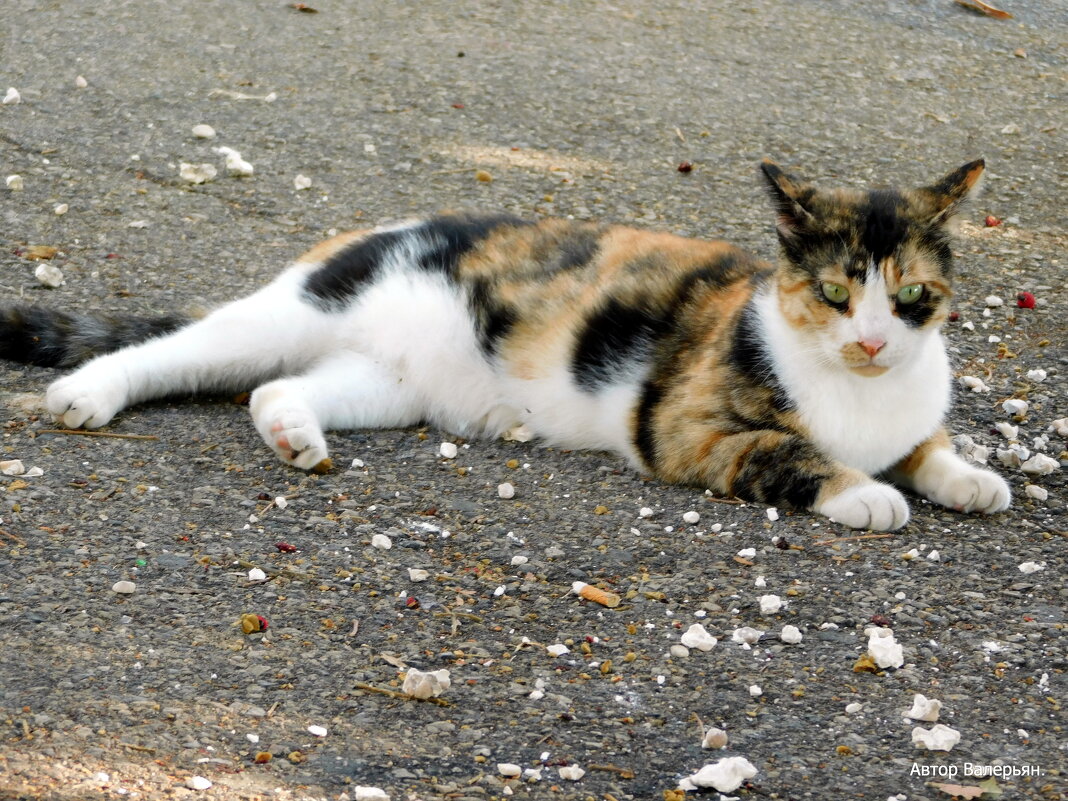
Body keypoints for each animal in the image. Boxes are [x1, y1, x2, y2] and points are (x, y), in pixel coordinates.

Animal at [0, 159, 1008, 529]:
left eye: (911, 297)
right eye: (836, 292)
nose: (872, 342)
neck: (862, 396)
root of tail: (387, 225)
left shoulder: (910, 413)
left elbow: (931, 445)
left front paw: (970, 478)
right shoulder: (688, 432)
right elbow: (792, 453)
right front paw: (865, 493)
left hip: (386, 385)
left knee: (274, 391)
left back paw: (296, 438)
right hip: (287, 314)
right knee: (174, 351)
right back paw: (87, 394)